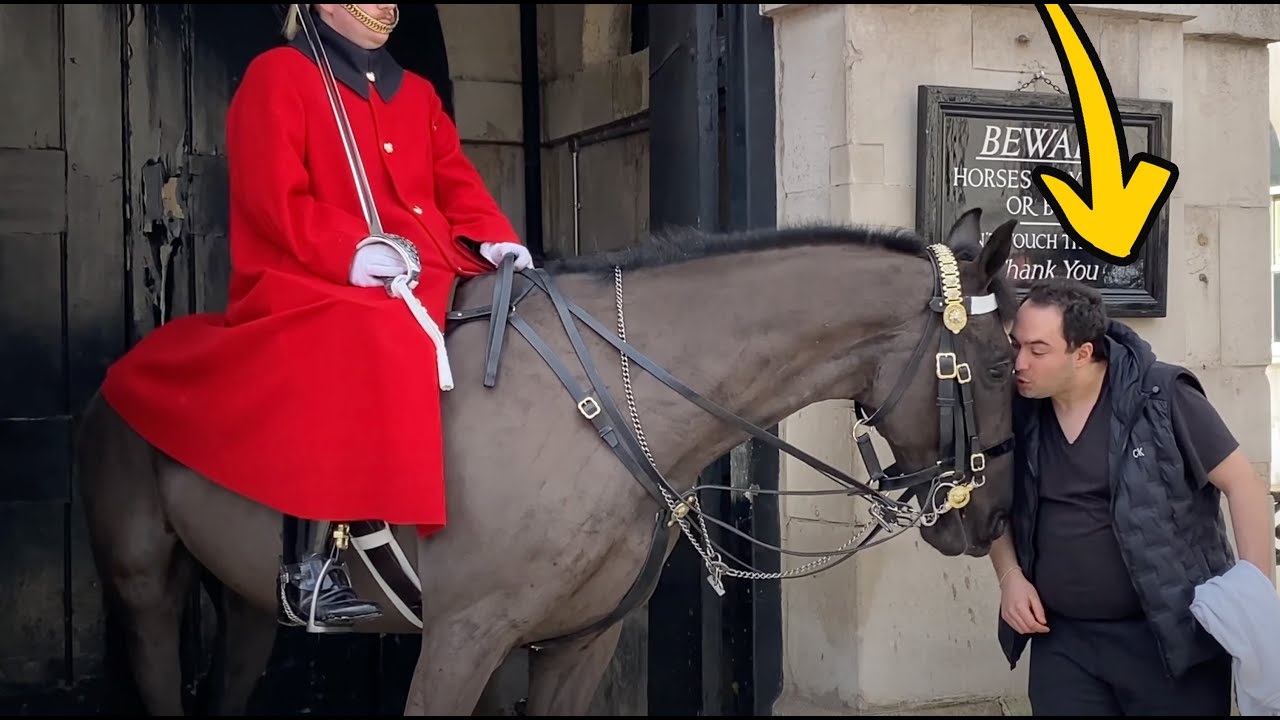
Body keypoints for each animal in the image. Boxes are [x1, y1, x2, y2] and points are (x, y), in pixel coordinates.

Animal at [73, 206, 1020, 716]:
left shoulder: (575, 646)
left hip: (244, 604)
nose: (992, 517)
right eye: (1004, 365)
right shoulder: (460, 641)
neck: (605, 405)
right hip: (146, 591)